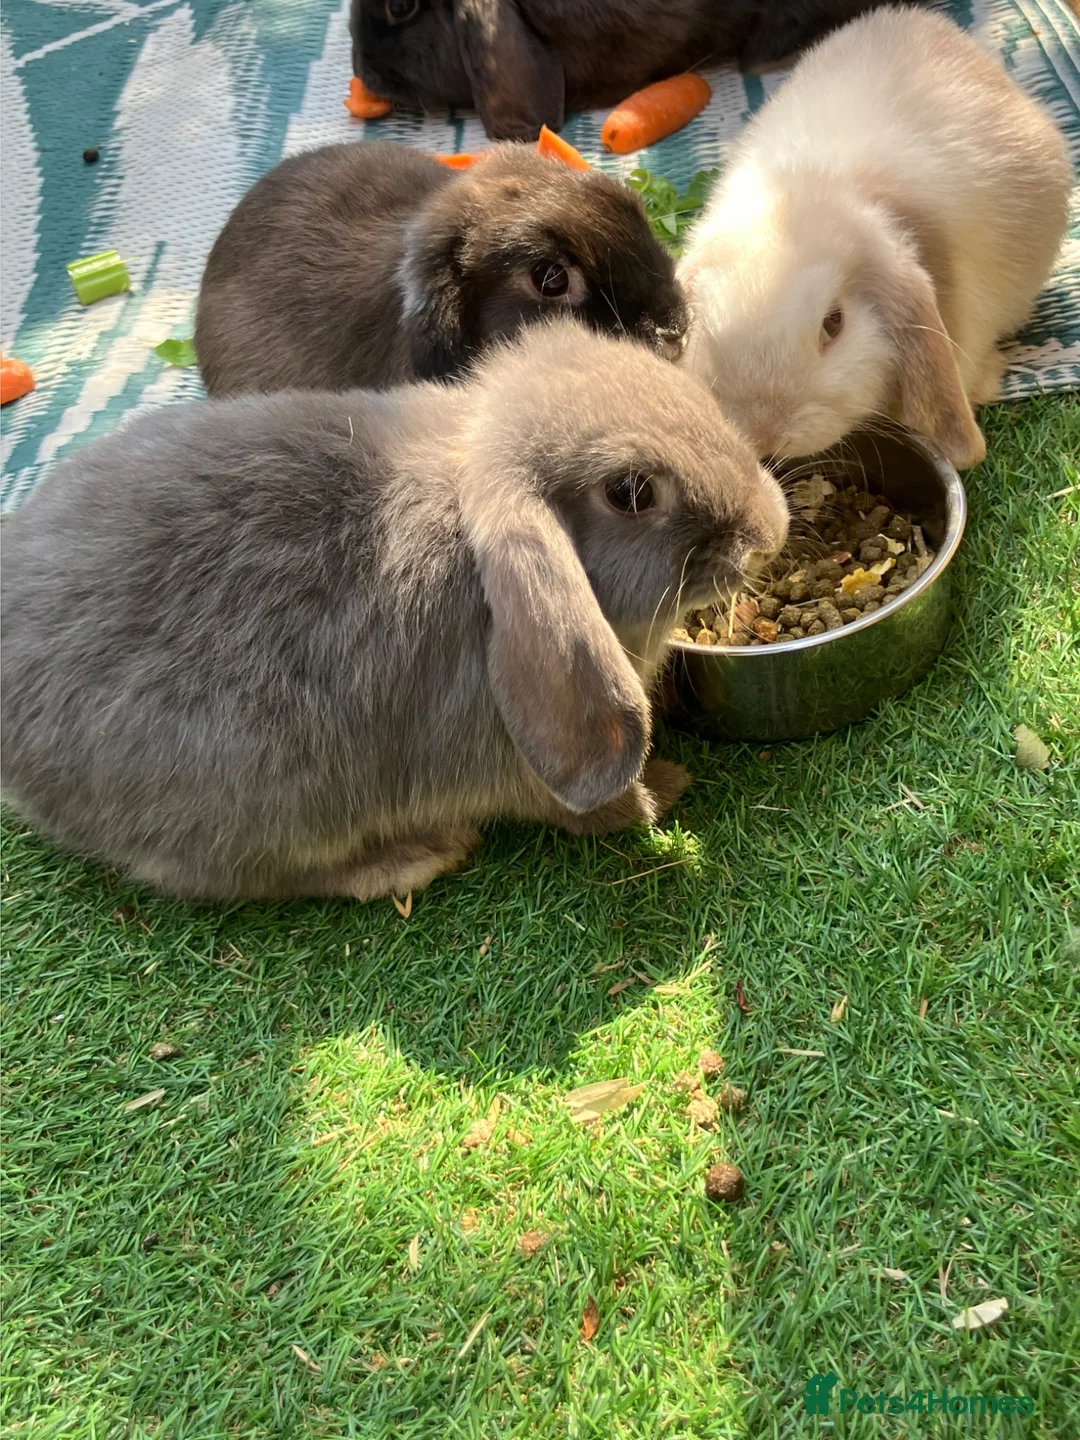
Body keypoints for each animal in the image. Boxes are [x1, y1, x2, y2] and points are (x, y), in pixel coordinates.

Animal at [1, 320, 788, 903]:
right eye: (630, 492)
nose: (769, 529)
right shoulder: (510, 761)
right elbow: (579, 804)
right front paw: (659, 793)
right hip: (271, 799)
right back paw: (417, 856)